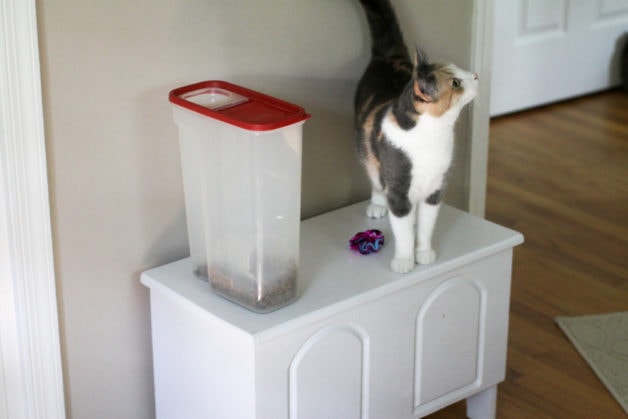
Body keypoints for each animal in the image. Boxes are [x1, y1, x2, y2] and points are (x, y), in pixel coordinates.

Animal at [354, 0, 480, 276]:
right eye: (456, 83)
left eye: (460, 70)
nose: (476, 75)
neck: (434, 134)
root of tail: (389, 56)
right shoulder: (399, 191)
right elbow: (402, 230)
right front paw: (403, 260)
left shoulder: (436, 189)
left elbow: (425, 226)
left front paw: (423, 253)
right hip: (365, 150)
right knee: (374, 176)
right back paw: (378, 204)